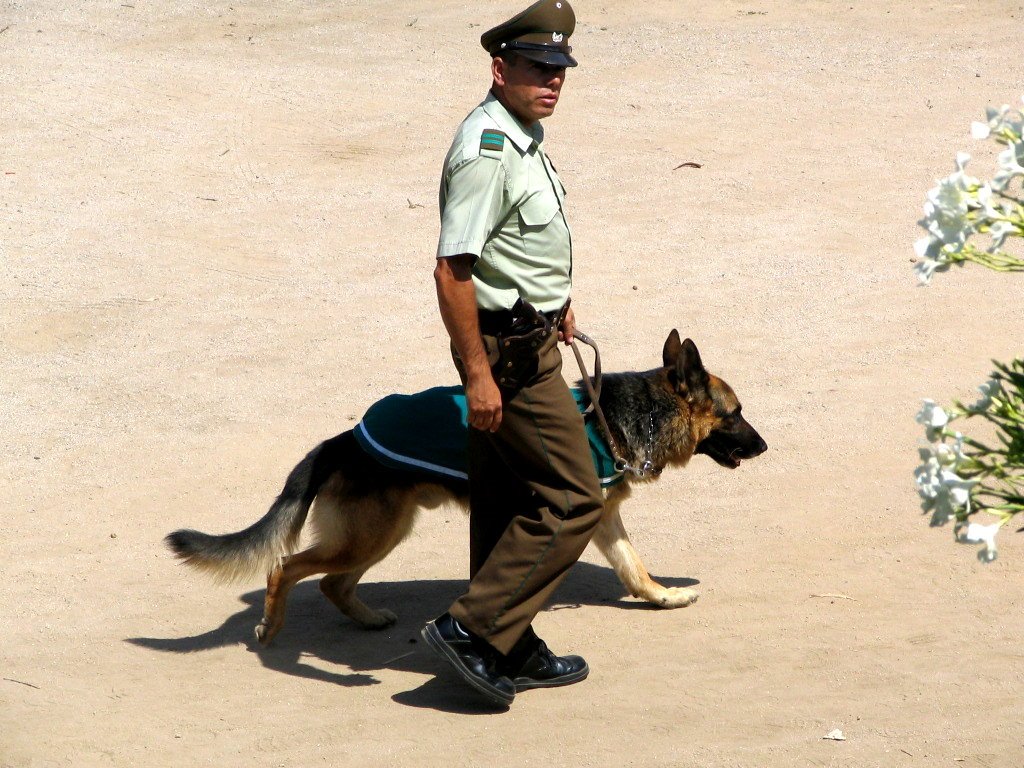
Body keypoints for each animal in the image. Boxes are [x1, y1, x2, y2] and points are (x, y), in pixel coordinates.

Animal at [163, 329, 765, 643]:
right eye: (736, 413)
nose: (764, 447)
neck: (633, 415)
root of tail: (344, 440)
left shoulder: (601, 516)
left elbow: (634, 568)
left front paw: (663, 597)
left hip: (380, 534)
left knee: (332, 583)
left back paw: (366, 617)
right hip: (371, 535)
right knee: (285, 567)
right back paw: (270, 627)